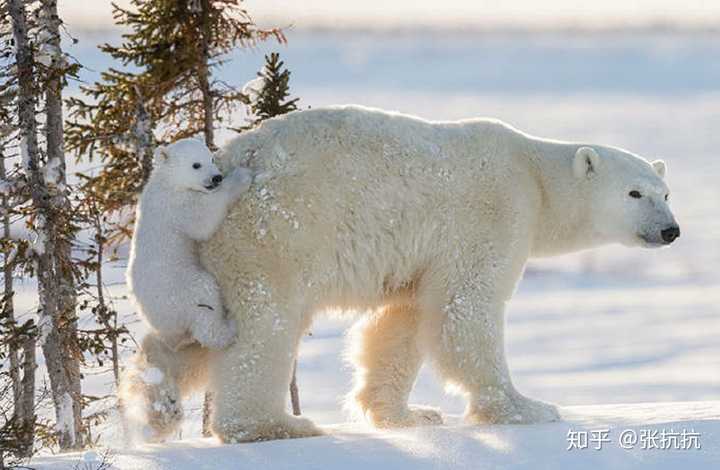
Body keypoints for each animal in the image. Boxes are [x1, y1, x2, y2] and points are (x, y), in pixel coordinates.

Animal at [188, 104, 676, 442]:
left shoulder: (419, 256)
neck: (534, 177)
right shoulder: (492, 213)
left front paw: (409, 414)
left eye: (666, 192)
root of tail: (227, 158)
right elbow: (466, 308)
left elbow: (403, 321)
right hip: (272, 235)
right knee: (264, 328)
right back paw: (273, 425)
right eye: (634, 193)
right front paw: (527, 408)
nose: (670, 230)